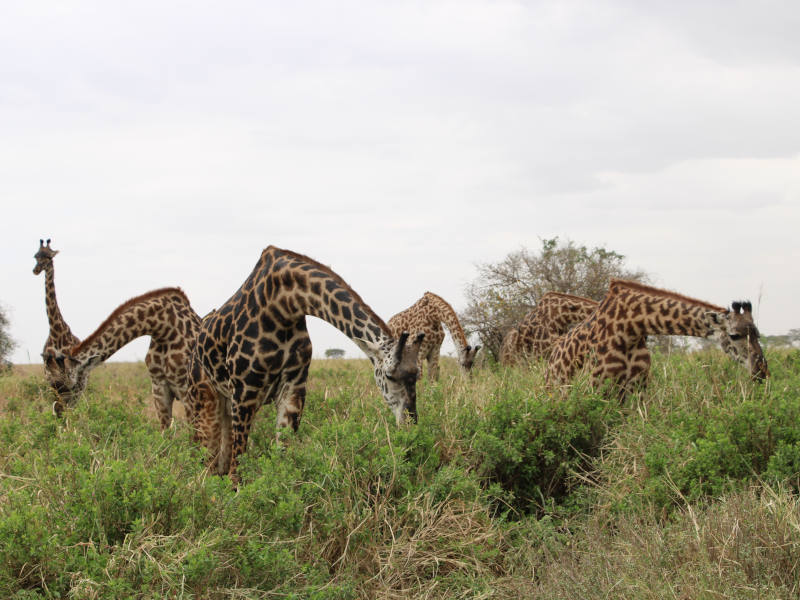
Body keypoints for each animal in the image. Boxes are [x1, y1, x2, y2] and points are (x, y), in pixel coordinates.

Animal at [41, 286, 214, 426]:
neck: (163, 329)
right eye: (51, 383)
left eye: (70, 386)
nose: (59, 413)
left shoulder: (187, 391)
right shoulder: (159, 389)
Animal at [187, 245, 424, 482]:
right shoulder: (244, 391)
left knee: (219, 461)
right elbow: (238, 465)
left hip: (225, 403)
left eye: (417, 376)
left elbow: (283, 454)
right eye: (390, 376)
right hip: (204, 400)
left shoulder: (293, 387)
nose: (411, 426)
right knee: (204, 459)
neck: (284, 306)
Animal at [544, 280, 764, 396]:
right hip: (555, 389)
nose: (761, 372)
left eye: (757, 334)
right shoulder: (597, 385)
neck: (630, 328)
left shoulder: (638, 387)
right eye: (734, 335)